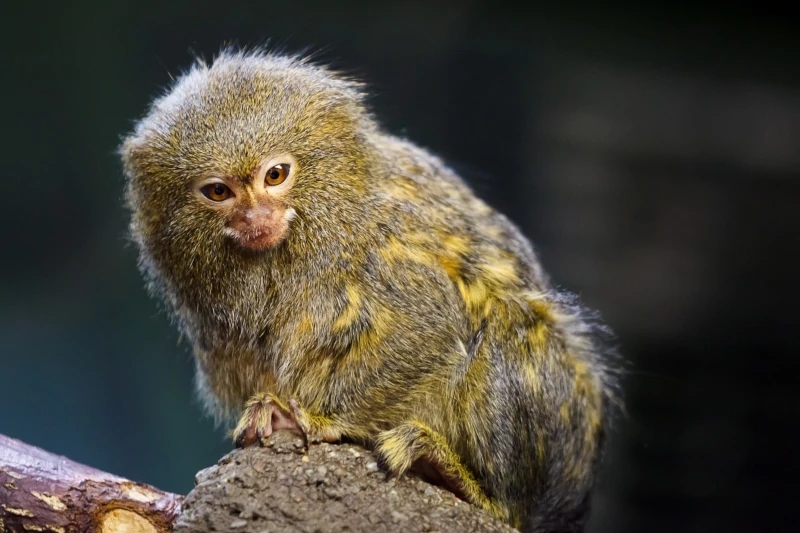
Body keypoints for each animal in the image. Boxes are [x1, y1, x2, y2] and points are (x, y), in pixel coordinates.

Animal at [119, 48, 622, 533]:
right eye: (219, 192)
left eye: (276, 175)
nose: (256, 218)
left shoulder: (386, 247)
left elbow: (429, 327)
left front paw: (321, 419)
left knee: (507, 327)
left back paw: (464, 481)